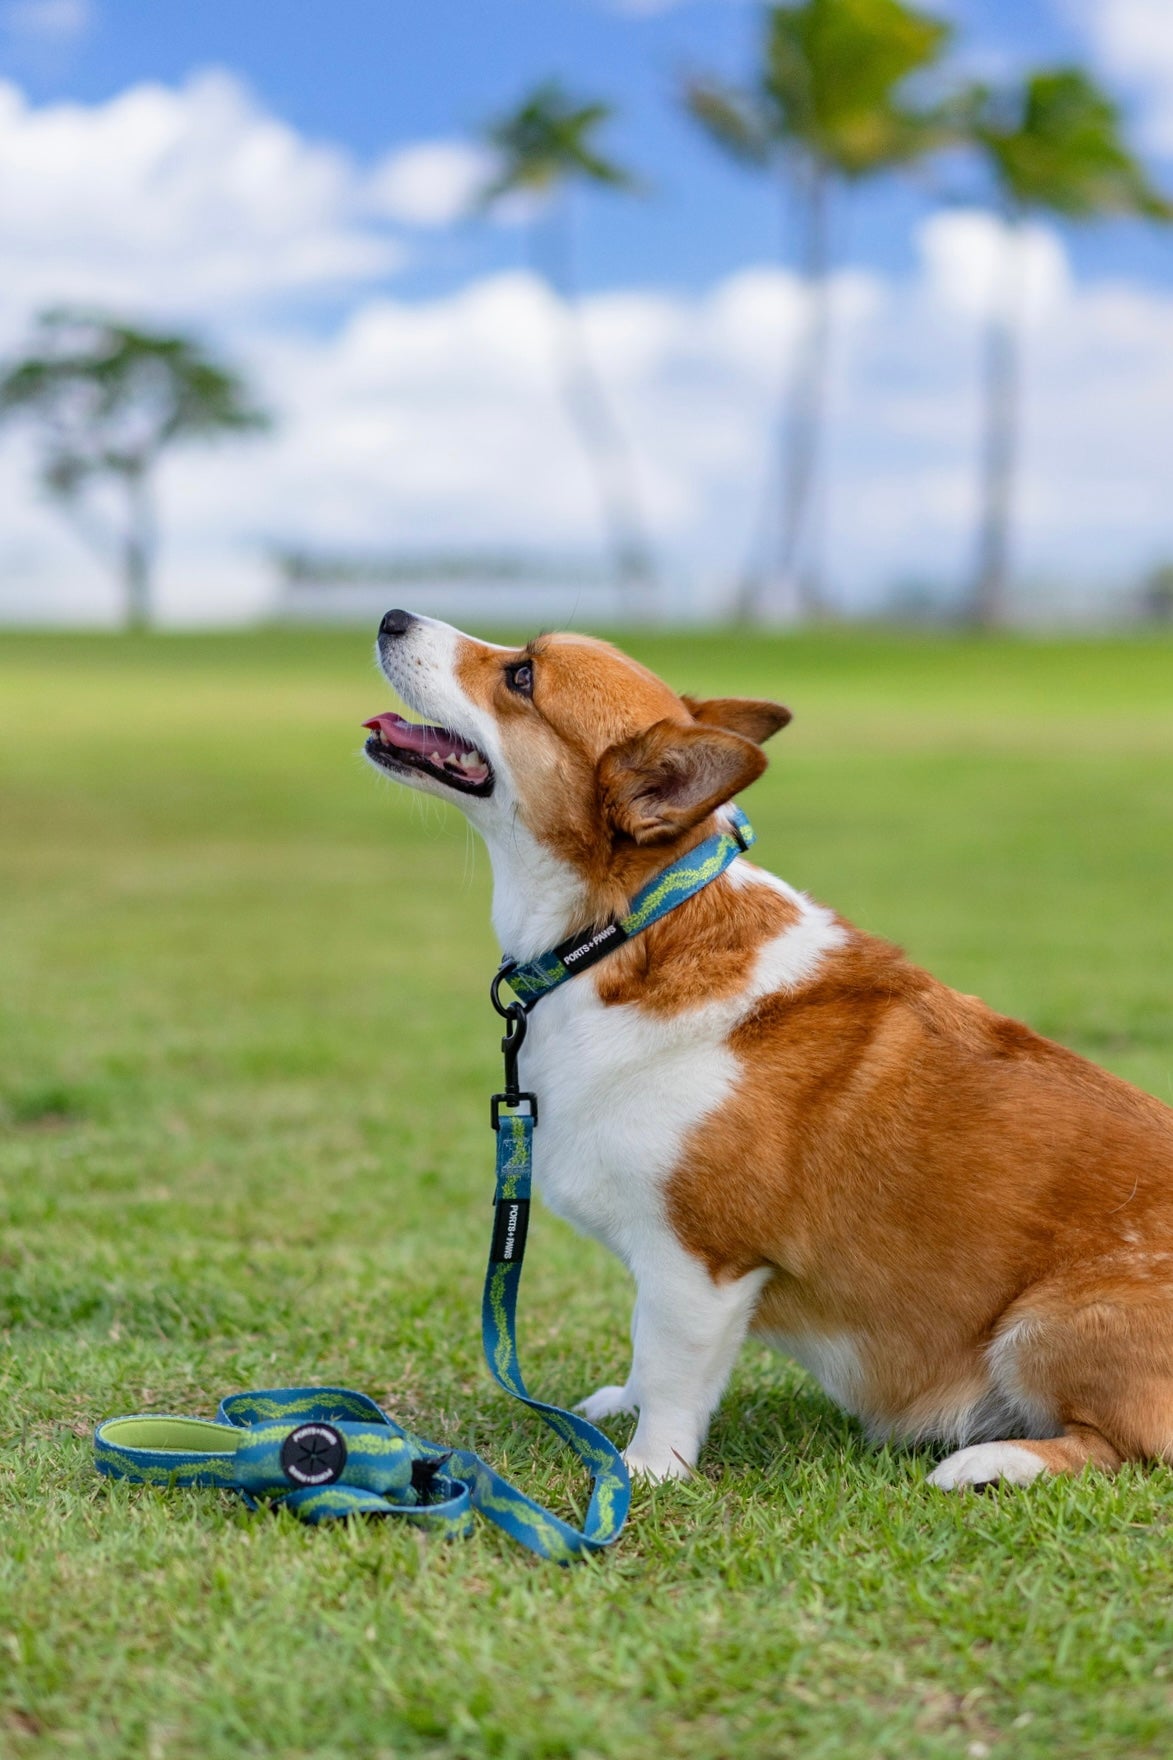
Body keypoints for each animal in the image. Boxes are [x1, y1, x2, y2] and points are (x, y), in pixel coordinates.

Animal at [362, 612, 1169, 1492]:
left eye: (522, 678)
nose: (393, 618)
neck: (626, 929)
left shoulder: (698, 1261)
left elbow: (671, 1370)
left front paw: (645, 1468)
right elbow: (645, 1349)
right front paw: (618, 1411)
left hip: (1049, 1322)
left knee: (1119, 1446)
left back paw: (987, 1460)